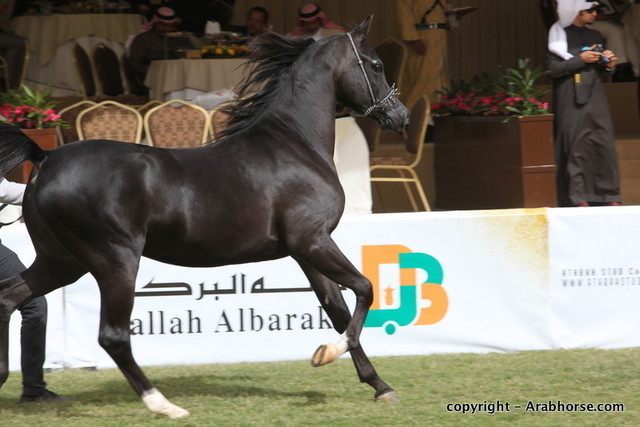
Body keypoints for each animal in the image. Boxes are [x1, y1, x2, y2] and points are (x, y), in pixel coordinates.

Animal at [0, 17, 408, 418]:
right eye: (376, 65)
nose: (400, 116)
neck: (295, 145)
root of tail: (46, 159)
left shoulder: (306, 251)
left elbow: (337, 309)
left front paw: (379, 386)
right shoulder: (313, 240)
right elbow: (364, 289)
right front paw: (328, 353)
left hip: (62, 262)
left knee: (9, 299)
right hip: (114, 261)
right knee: (112, 335)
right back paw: (164, 405)